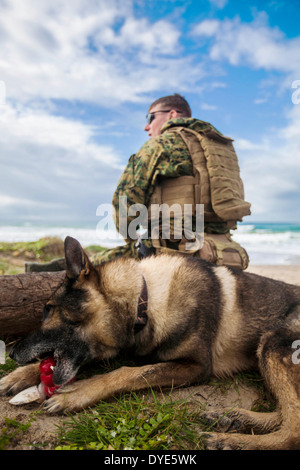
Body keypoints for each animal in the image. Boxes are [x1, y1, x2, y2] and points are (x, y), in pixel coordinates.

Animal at [0, 237, 300, 450]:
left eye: (48, 309)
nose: (12, 353)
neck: (144, 300)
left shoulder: (195, 366)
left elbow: (128, 373)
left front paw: (78, 392)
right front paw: (19, 375)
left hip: (272, 343)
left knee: (293, 429)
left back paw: (234, 441)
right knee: (286, 412)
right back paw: (236, 418)